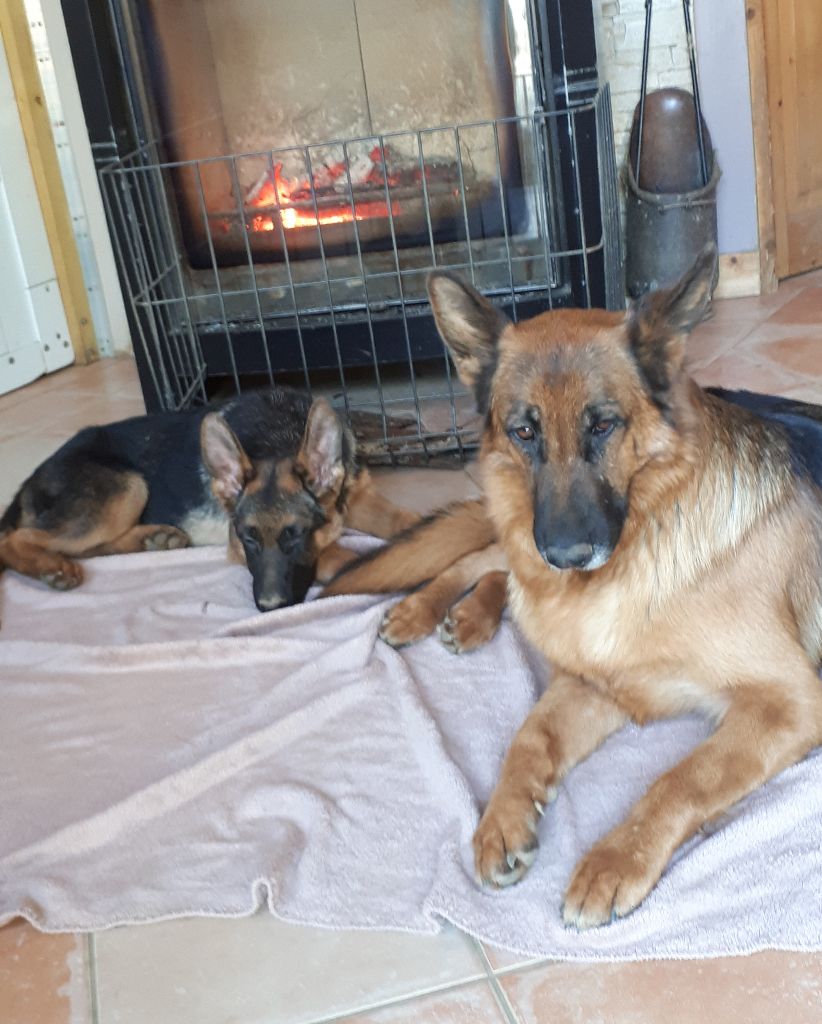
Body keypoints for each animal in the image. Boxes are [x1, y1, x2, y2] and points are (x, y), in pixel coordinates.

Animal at [1, 385, 417, 614]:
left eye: (296, 534)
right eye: (247, 537)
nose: (267, 608)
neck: (281, 434)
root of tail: (32, 477)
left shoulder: (359, 497)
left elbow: (405, 520)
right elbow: (342, 555)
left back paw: (155, 538)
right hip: (127, 487)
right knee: (17, 540)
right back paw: (52, 568)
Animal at [327, 249, 822, 929]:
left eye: (604, 426)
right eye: (524, 432)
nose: (566, 556)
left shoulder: (788, 702)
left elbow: (683, 778)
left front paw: (613, 861)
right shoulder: (594, 678)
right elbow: (529, 737)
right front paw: (501, 821)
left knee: (501, 571)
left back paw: (468, 616)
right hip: (517, 538)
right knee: (487, 559)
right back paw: (424, 612)